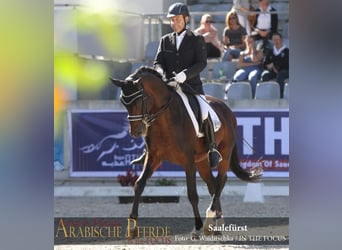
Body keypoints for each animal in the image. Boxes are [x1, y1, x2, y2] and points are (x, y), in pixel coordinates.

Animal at [111, 65, 260, 237]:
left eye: (140, 100)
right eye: (123, 102)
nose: (136, 132)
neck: (165, 118)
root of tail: (227, 109)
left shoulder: (188, 161)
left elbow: (192, 194)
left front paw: (197, 227)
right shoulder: (153, 157)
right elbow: (139, 184)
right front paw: (132, 227)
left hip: (225, 153)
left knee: (221, 181)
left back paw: (210, 218)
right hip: (202, 161)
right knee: (212, 184)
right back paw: (215, 224)